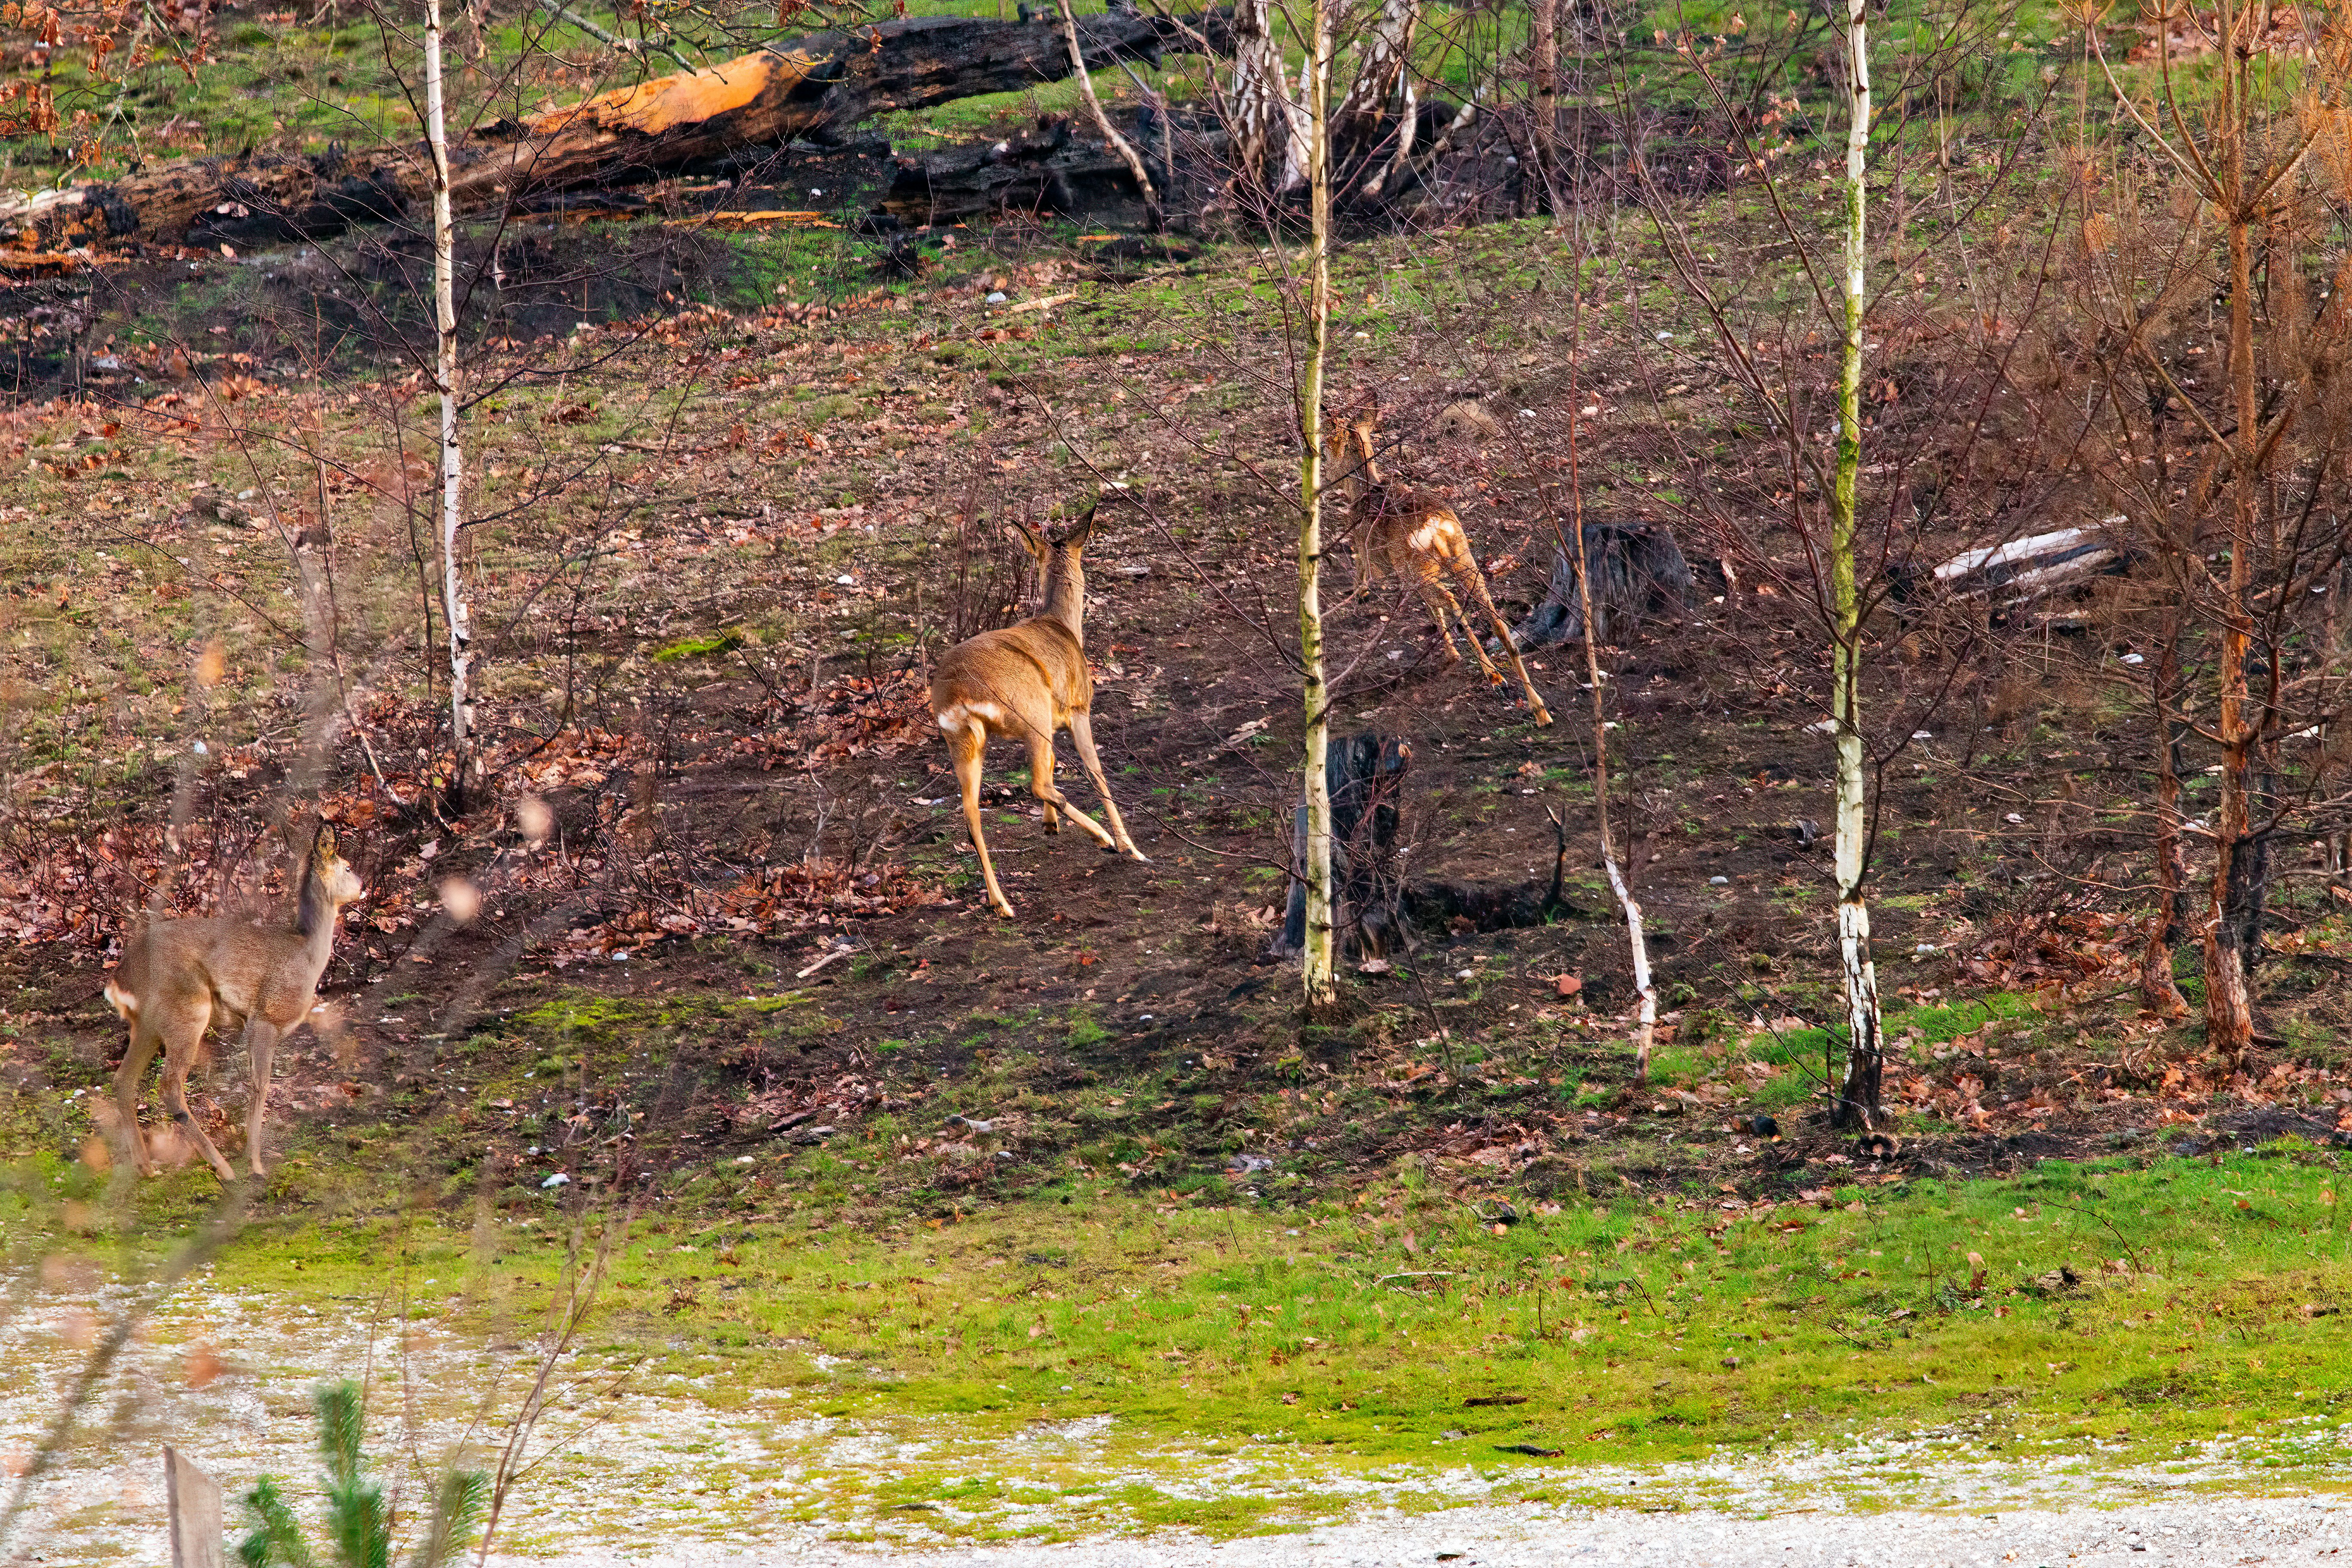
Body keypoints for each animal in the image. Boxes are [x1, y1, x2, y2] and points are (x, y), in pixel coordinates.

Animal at [104, 824, 366, 1183]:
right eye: (348, 867)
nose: (363, 887)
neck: (307, 954)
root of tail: (120, 979)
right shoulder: (266, 1016)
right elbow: (260, 1085)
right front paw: (255, 1164)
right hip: (186, 1011)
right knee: (169, 1086)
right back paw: (223, 1169)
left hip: (147, 1026)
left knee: (123, 1082)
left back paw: (147, 1168)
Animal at [930, 503, 1147, 918]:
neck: (1063, 626)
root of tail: (959, 694)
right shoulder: (1079, 707)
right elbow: (1096, 773)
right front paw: (1133, 847)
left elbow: (1055, 763)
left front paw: (1050, 825)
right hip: (1032, 712)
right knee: (1038, 784)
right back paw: (1104, 840)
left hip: (962, 740)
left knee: (971, 812)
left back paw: (1002, 904)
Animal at [1326, 407, 1553, 728]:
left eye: (1329, 450)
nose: (1328, 477)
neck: (1364, 492)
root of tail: (1436, 527)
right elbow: (1433, 610)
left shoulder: (1370, 551)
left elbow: (1364, 572)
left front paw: (1360, 594)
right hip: (1463, 560)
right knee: (1494, 619)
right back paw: (1540, 710)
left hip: (1418, 568)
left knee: (1453, 602)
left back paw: (1496, 679)